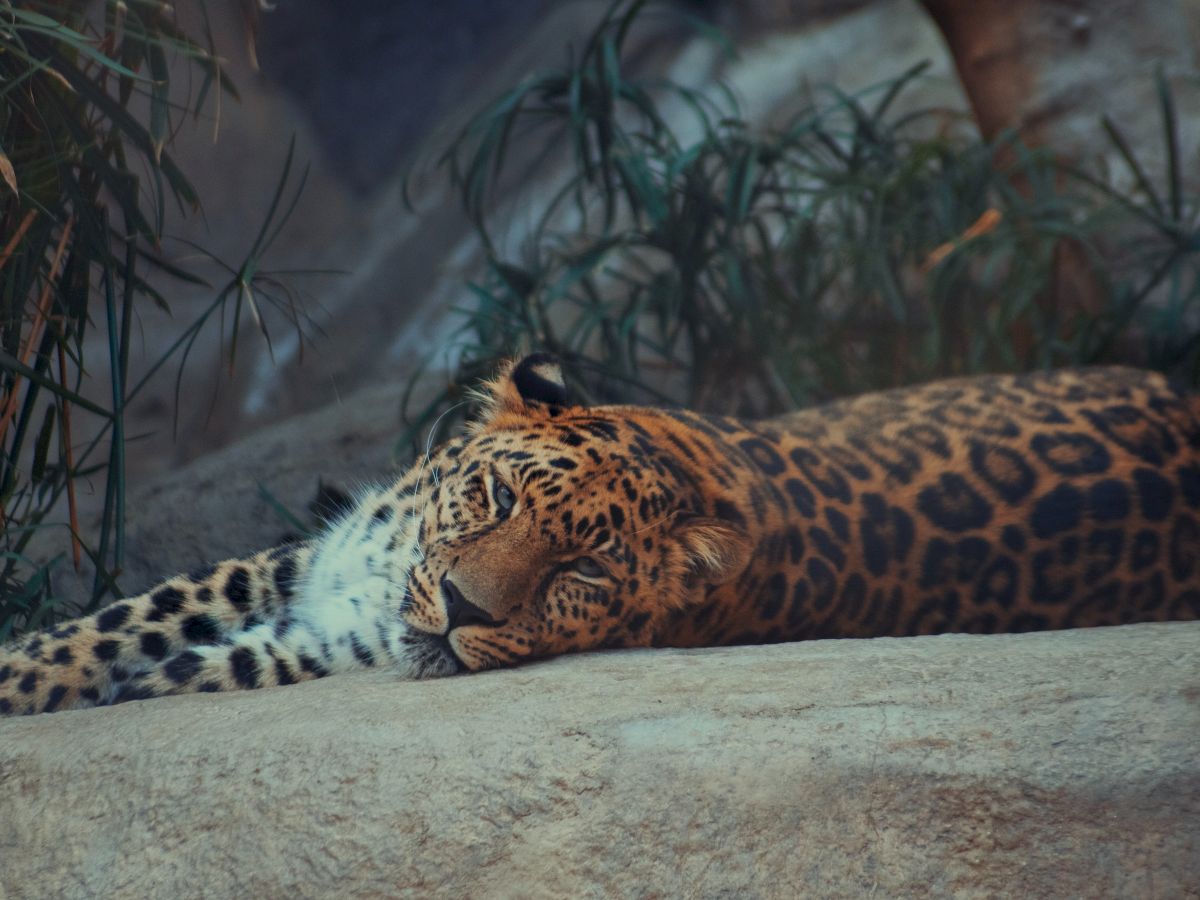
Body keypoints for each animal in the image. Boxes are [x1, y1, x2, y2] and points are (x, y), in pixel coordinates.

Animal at [2, 355, 1200, 720]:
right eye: (491, 497)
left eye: (577, 572)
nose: (462, 608)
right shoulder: (302, 558)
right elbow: (126, 616)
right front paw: (30, 670)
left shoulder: (331, 635)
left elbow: (216, 661)